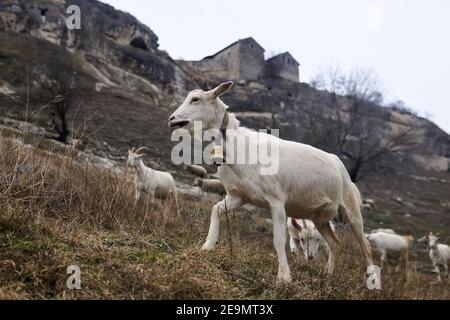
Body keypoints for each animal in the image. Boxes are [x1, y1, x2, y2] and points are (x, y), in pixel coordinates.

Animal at [168, 80, 372, 282]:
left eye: (195, 99)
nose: (172, 119)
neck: (239, 148)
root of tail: (339, 163)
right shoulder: (238, 196)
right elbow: (215, 210)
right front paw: (208, 246)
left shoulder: (277, 201)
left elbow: (278, 239)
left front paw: (284, 277)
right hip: (319, 216)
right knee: (335, 243)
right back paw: (327, 276)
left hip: (351, 209)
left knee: (365, 246)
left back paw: (370, 279)